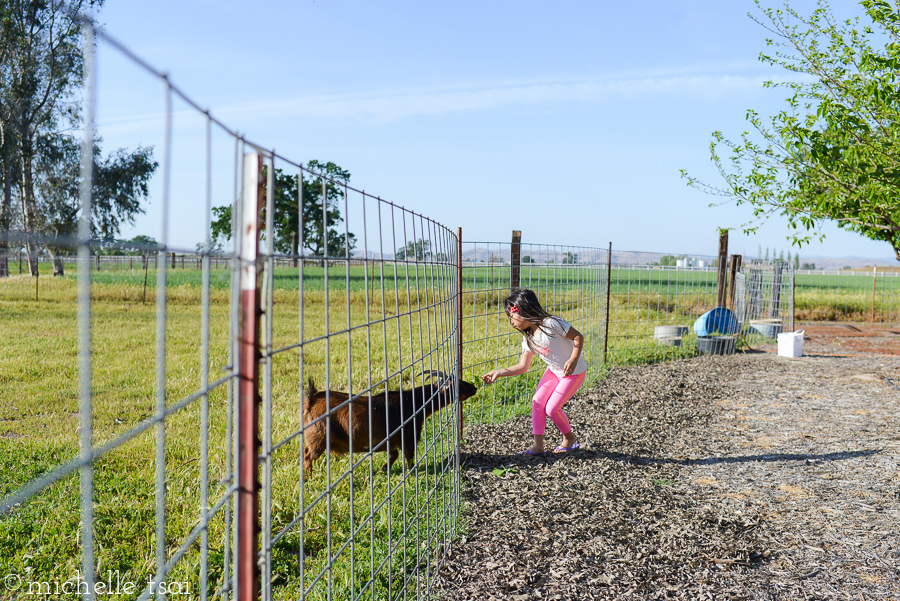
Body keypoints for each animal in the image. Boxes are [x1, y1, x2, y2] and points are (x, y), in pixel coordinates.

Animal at [302, 370, 478, 474]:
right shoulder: (408, 437)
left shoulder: (391, 442)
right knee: (308, 457)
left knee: (305, 452)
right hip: (318, 438)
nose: (474, 387)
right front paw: (412, 472)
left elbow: (394, 454)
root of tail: (311, 400)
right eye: (458, 385)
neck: (413, 403)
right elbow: (408, 456)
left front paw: (384, 469)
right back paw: (308, 477)